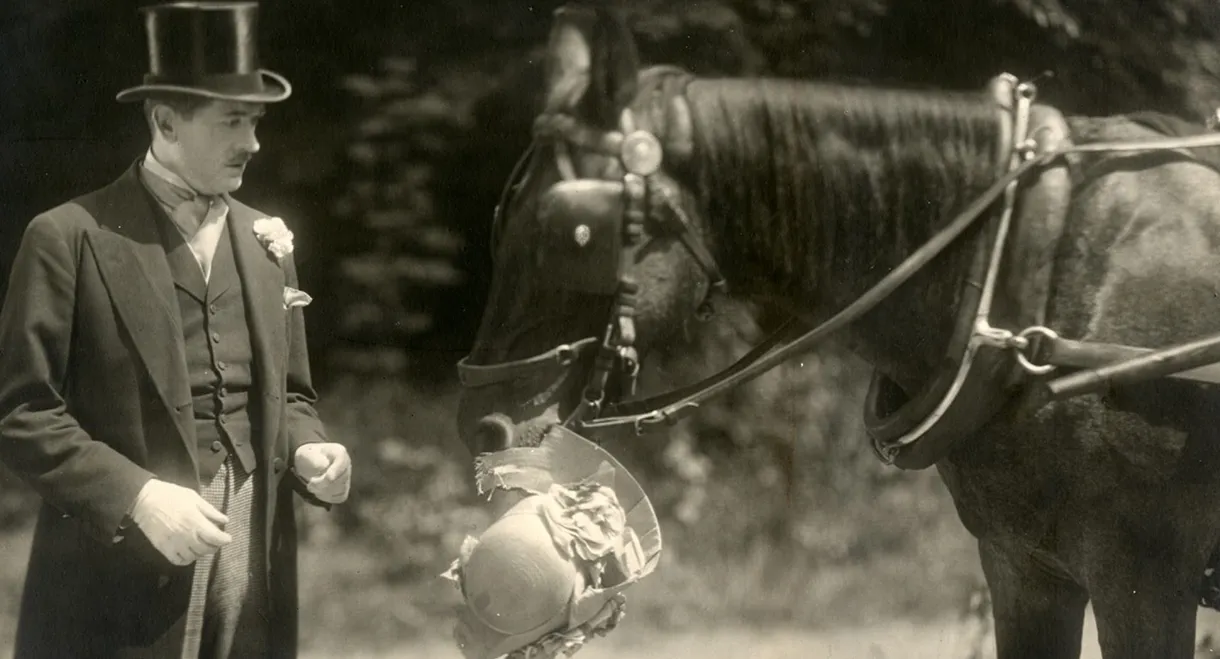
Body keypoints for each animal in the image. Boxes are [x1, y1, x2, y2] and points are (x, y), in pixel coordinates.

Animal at [456, 6, 1220, 659]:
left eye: (574, 233)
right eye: (501, 216)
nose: (482, 425)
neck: (1036, 263)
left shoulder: (1143, 576)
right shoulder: (1023, 567)